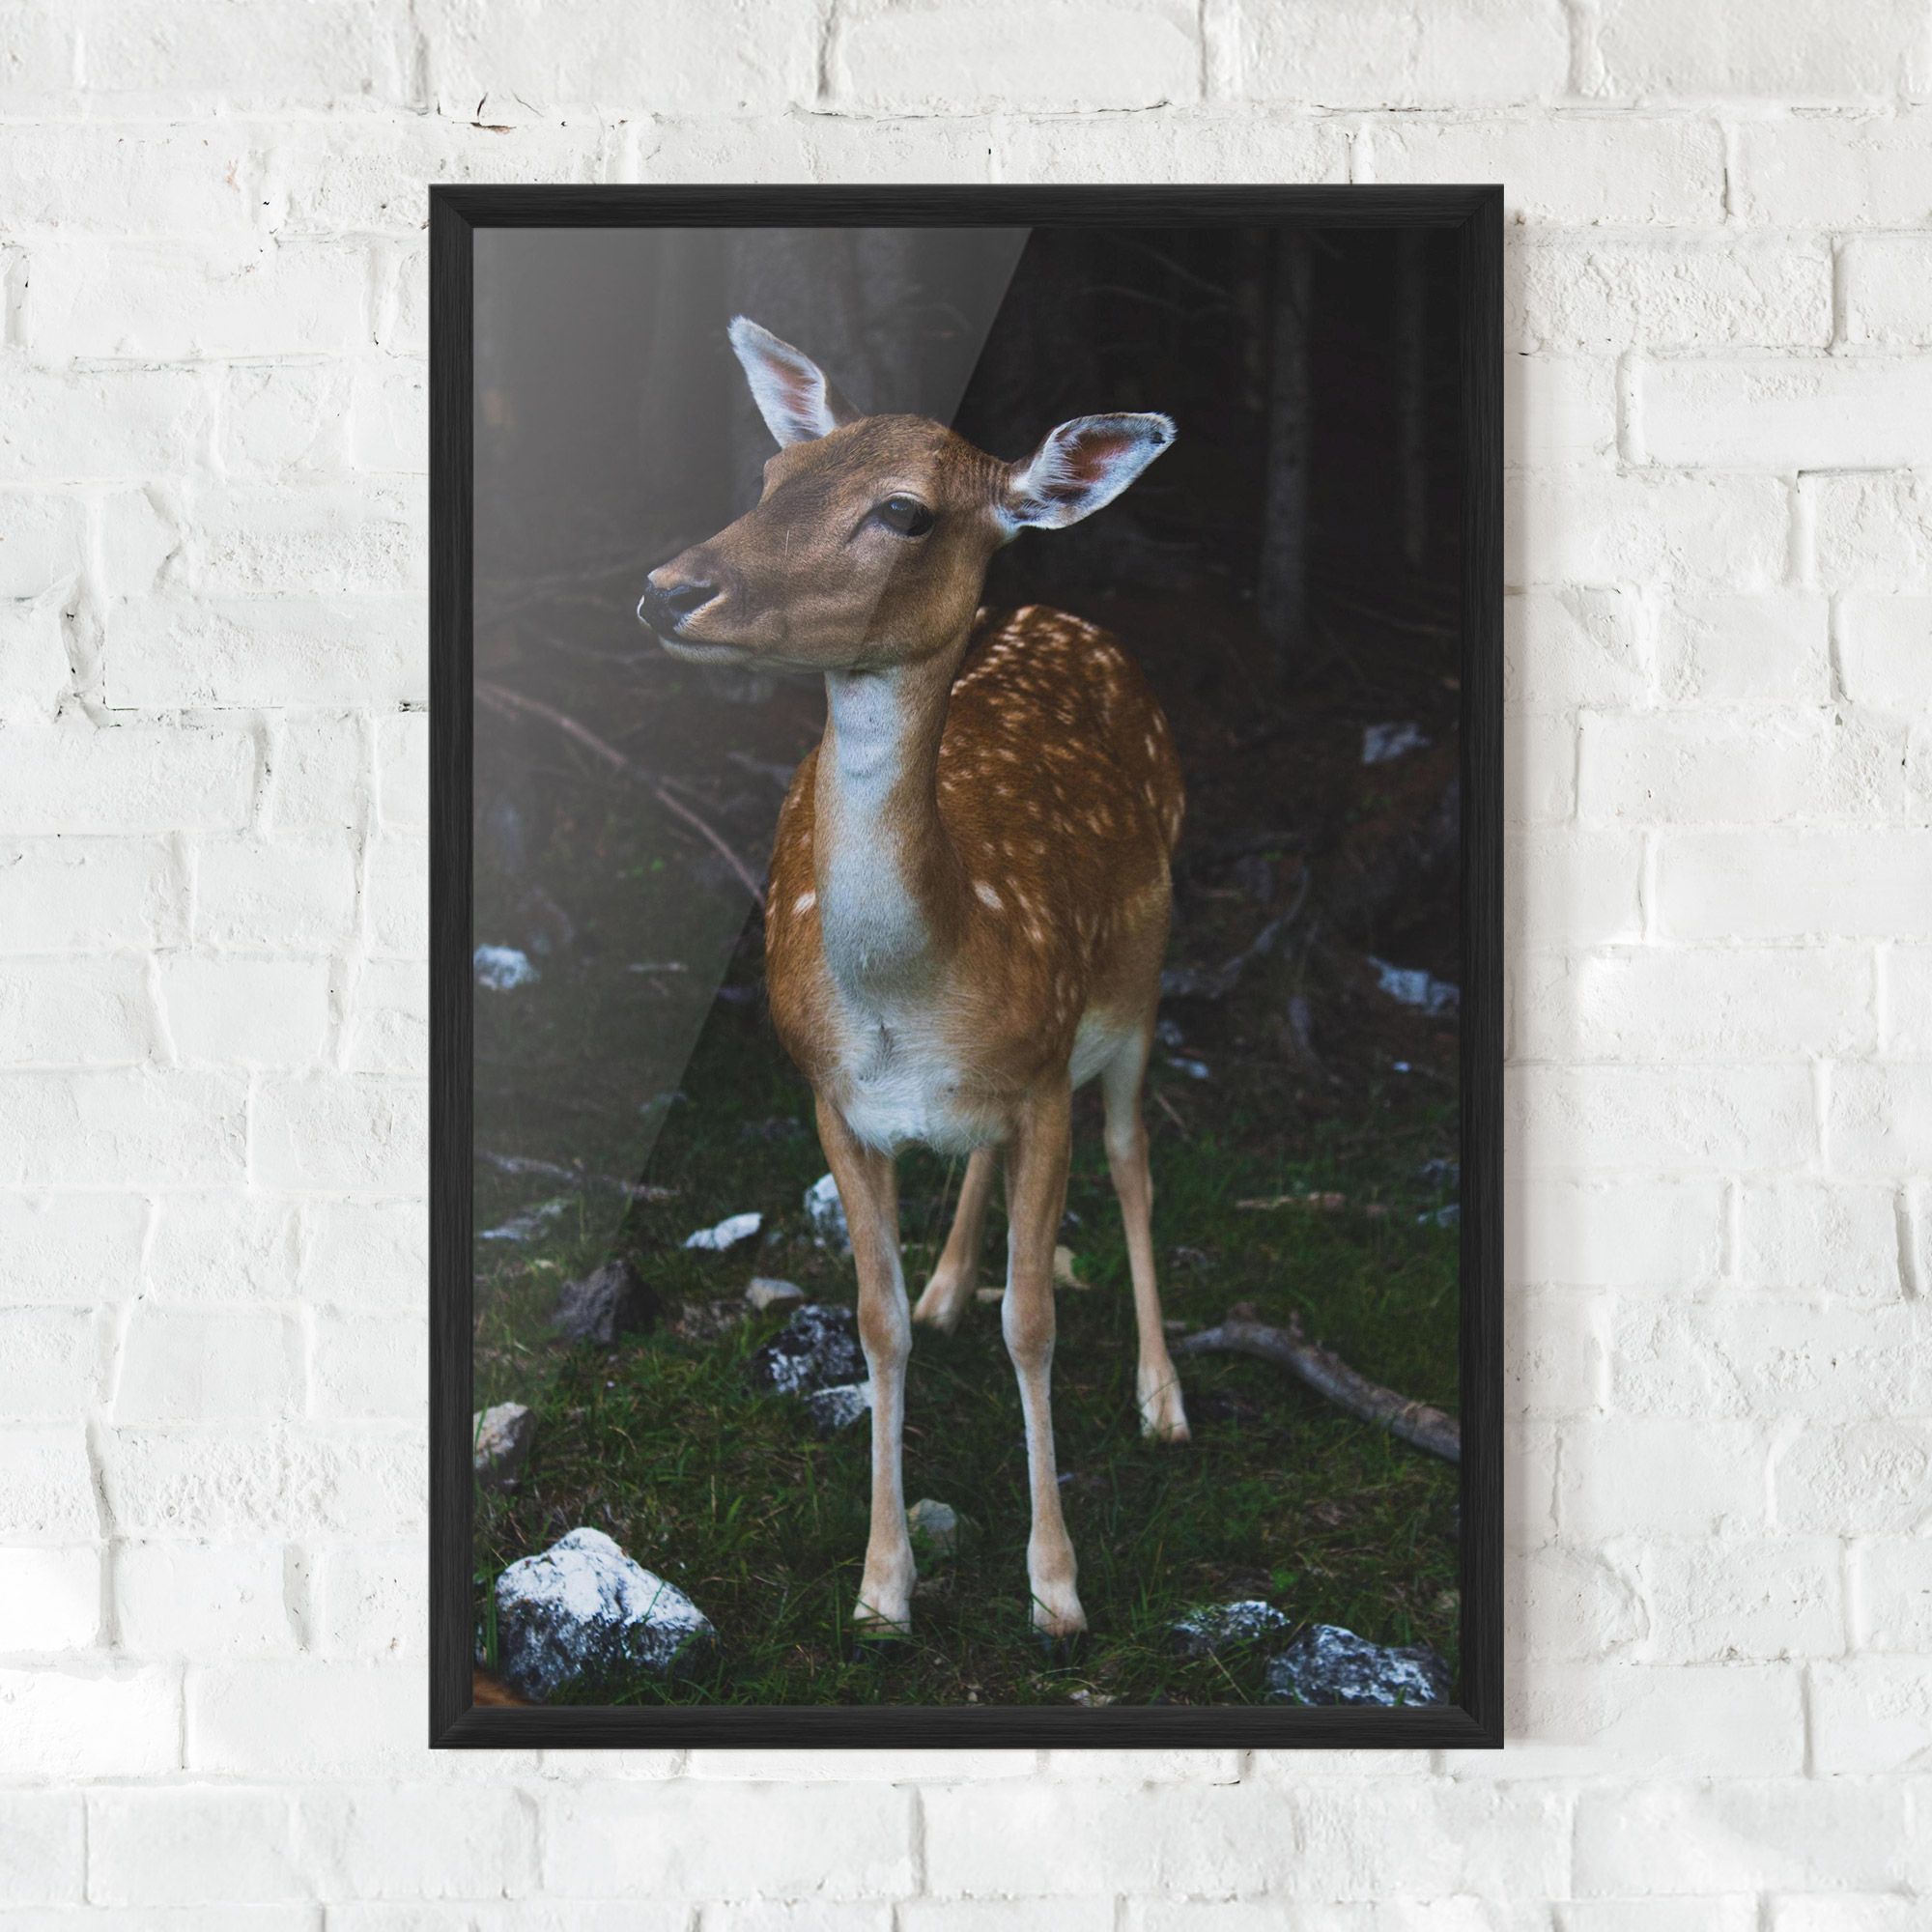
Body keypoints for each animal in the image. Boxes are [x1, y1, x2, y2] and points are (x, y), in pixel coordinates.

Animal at [635, 316, 1190, 1642]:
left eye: (904, 512)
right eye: (775, 475)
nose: (669, 587)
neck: (915, 988)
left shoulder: (1042, 1074)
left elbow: (1033, 1319)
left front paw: (1055, 1586)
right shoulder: (831, 1095)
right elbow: (872, 1320)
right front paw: (882, 1584)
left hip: (1138, 980)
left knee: (1131, 1154)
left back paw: (1163, 1398)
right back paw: (948, 1284)